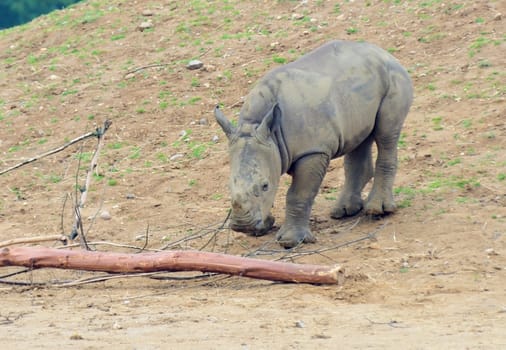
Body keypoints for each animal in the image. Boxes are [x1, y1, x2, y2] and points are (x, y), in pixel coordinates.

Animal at [213, 40, 412, 249]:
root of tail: (383, 52)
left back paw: (377, 211)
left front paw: (291, 241)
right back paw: (344, 211)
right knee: (359, 138)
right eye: (228, 185)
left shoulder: (313, 151)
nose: (242, 226)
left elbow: (299, 193)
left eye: (265, 185)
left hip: (393, 78)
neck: (268, 132)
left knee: (386, 135)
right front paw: (264, 227)